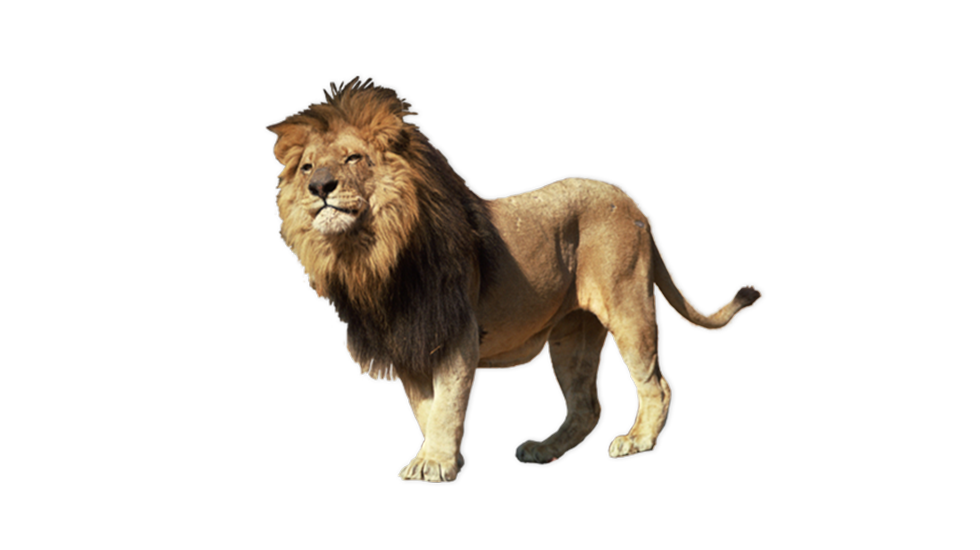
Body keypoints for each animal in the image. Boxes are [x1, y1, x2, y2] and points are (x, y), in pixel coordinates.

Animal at [268, 78, 760, 482]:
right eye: (307, 167)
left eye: (353, 158)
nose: (320, 187)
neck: (372, 252)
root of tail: (636, 209)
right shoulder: (409, 343)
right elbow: (426, 408)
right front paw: (442, 458)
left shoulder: (458, 335)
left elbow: (446, 405)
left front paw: (435, 463)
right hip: (572, 335)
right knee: (586, 405)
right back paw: (544, 450)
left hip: (628, 305)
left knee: (655, 383)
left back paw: (637, 440)